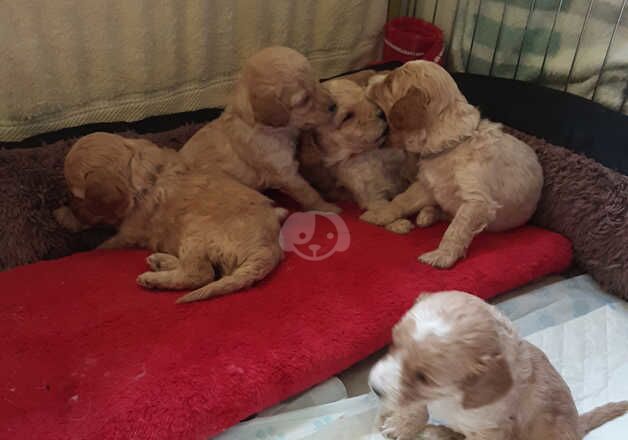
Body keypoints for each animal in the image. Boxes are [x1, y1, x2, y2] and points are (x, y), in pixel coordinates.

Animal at [54, 132, 284, 304]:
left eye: (75, 194)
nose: (65, 200)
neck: (143, 173)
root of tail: (268, 248)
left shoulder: (127, 234)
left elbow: (101, 244)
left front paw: (64, 217)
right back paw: (160, 261)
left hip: (195, 230)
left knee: (200, 274)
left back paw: (153, 278)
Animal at [179, 45, 340, 214]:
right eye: (304, 100)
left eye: (317, 82)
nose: (334, 105)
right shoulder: (284, 173)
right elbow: (308, 192)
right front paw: (327, 208)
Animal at [360, 61, 544, 268]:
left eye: (389, 83)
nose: (369, 79)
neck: (451, 144)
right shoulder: (427, 185)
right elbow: (402, 200)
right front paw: (378, 214)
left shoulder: (476, 201)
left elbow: (455, 229)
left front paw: (442, 255)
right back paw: (426, 215)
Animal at [368, 290, 628, 438]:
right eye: (394, 343)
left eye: (423, 377)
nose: (375, 389)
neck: (453, 397)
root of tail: (577, 425)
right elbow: (418, 406)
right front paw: (403, 424)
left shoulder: (490, 430)